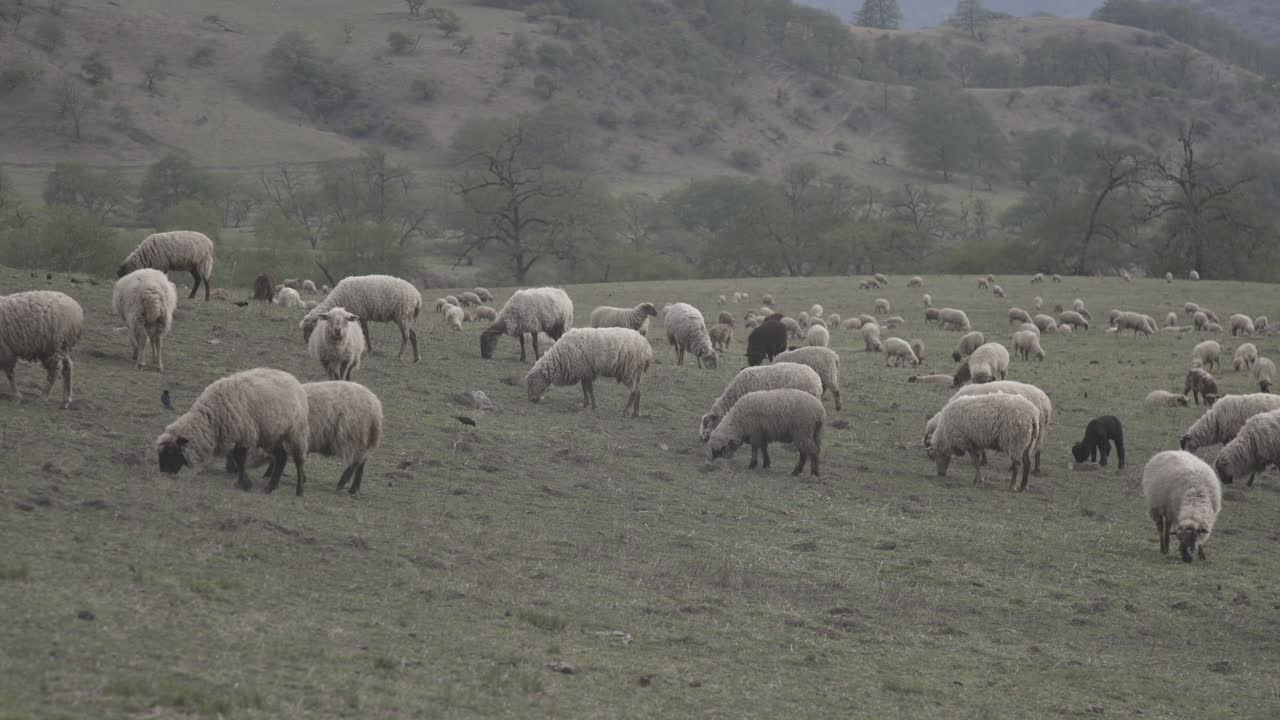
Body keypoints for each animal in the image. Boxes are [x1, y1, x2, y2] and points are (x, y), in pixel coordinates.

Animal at [157, 368, 309, 495]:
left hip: (296, 432)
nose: (163, 472)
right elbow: (238, 459)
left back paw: (299, 490)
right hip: (272, 435)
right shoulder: (234, 437)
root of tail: (293, 379)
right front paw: (244, 482)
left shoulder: (241, 435)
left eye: (171, 451)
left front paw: (244, 484)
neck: (211, 418)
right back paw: (270, 487)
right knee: (281, 457)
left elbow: (240, 460)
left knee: (298, 460)